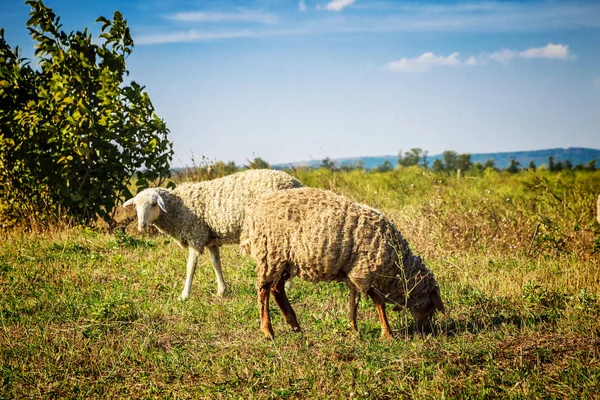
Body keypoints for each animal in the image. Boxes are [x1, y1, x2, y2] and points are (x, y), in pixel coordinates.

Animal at [122, 170, 302, 300]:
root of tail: (296, 183)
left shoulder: (196, 235)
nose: (141, 226)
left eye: (153, 204)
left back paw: (287, 287)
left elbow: (190, 267)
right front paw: (222, 290)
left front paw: (184, 295)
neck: (177, 208)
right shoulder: (211, 239)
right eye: (136, 206)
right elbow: (216, 263)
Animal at [240, 188, 446, 338]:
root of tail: (257, 208)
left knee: (277, 289)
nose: (426, 331)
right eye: (430, 306)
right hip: (270, 254)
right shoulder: (365, 272)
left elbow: (353, 301)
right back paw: (268, 331)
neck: (397, 266)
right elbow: (379, 303)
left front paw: (353, 328)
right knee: (264, 291)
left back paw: (295, 326)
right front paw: (387, 333)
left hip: (285, 260)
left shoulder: (354, 274)